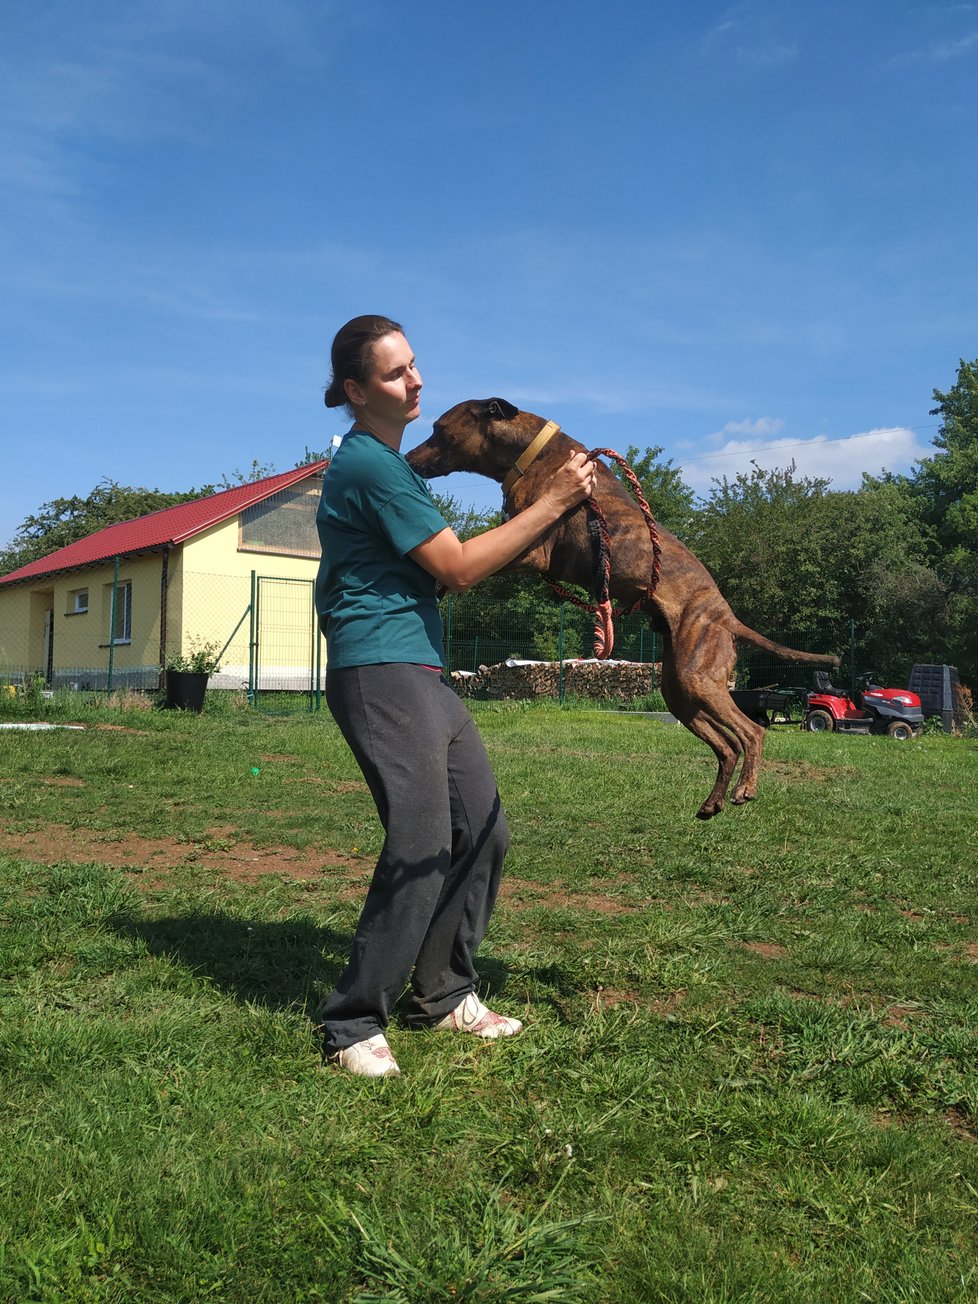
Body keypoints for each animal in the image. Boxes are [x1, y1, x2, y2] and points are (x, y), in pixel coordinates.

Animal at [406, 399, 844, 824]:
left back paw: (744, 789)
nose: (408, 457)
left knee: (752, 732)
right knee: (727, 746)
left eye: (438, 430)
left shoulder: (532, 549)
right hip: (679, 692)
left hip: (697, 680)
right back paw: (712, 803)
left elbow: (472, 547)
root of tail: (727, 618)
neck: (531, 452)